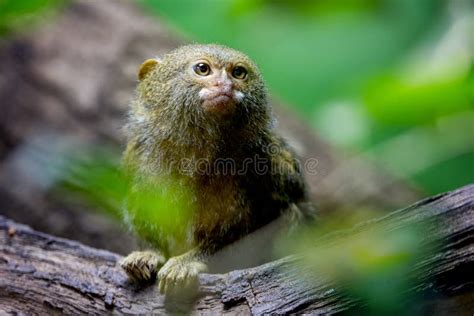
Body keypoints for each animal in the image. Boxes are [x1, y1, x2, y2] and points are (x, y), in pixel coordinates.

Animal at [120, 43, 316, 294]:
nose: (226, 85)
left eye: (238, 73)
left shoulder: (261, 161)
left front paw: (187, 262)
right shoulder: (138, 157)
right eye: (202, 69)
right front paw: (148, 254)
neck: (196, 152)